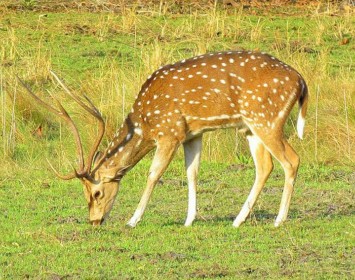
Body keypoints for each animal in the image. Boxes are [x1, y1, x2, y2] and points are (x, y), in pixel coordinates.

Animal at [18, 50, 308, 228]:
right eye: (84, 193)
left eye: (97, 192)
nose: (94, 221)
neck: (145, 121)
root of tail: (301, 82)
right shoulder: (192, 134)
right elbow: (192, 173)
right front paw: (189, 219)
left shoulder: (169, 132)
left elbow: (153, 174)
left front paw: (133, 220)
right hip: (250, 128)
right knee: (265, 166)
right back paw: (238, 220)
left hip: (266, 120)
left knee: (291, 160)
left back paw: (279, 219)